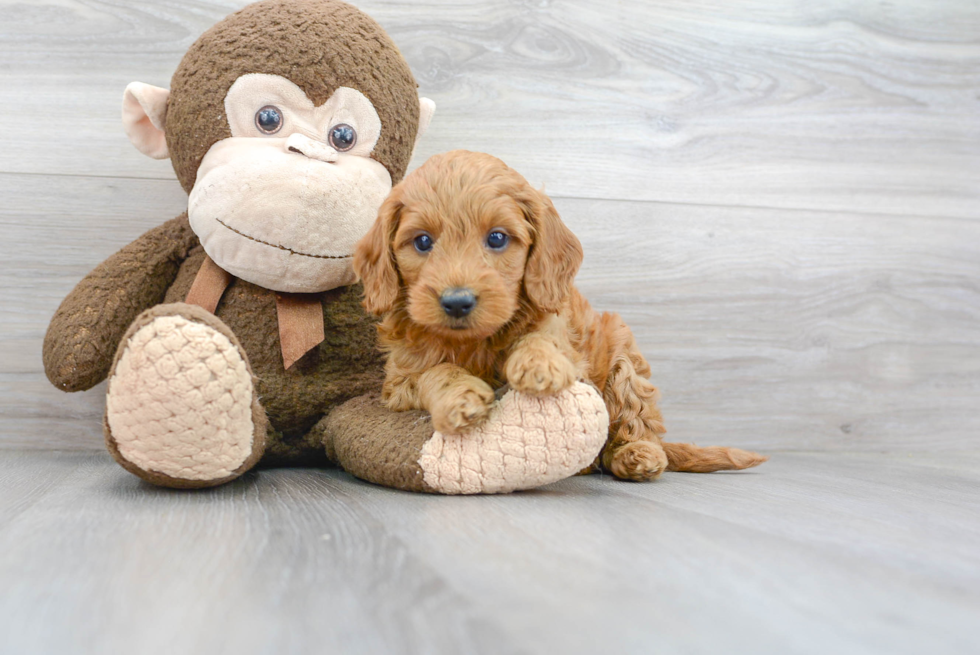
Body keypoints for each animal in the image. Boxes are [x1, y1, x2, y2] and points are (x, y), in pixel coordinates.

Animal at [356, 150, 768, 482]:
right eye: (423, 241)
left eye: (497, 238)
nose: (457, 302)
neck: (476, 342)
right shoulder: (400, 379)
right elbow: (436, 370)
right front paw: (461, 396)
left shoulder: (563, 333)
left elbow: (542, 338)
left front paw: (539, 364)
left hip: (623, 355)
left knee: (637, 422)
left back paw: (637, 454)